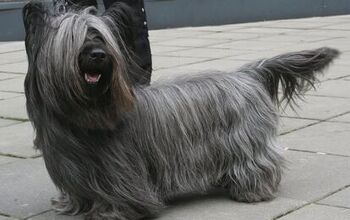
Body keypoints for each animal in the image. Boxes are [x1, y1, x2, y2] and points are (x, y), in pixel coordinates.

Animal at [21, 0, 340, 219]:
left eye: (100, 37)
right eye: (73, 39)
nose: (99, 55)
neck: (84, 116)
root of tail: (247, 74)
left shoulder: (122, 171)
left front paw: (111, 212)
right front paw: (74, 207)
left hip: (245, 141)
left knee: (258, 162)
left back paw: (252, 191)